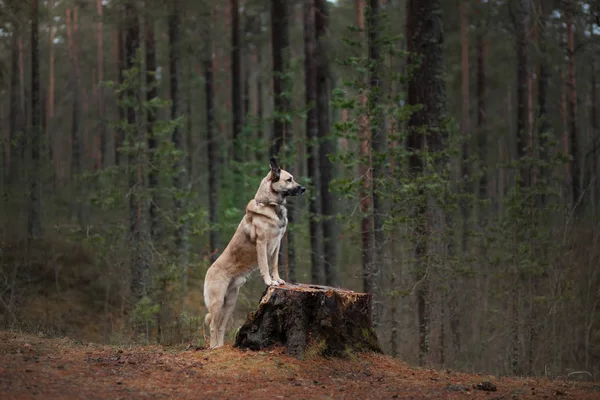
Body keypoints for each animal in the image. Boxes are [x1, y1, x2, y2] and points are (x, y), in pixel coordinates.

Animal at [203, 158, 304, 348]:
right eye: (289, 179)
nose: (304, 189)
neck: (270, 204)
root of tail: (208, 271)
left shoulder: (277, 245)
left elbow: (274, 265)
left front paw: (278, 280)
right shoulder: (262, 244)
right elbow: (265, 266)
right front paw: (270, 282)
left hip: (230, 303)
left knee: (221, 326)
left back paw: (219, 347)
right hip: (217, 302)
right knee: (213, 326)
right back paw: (213, 348)